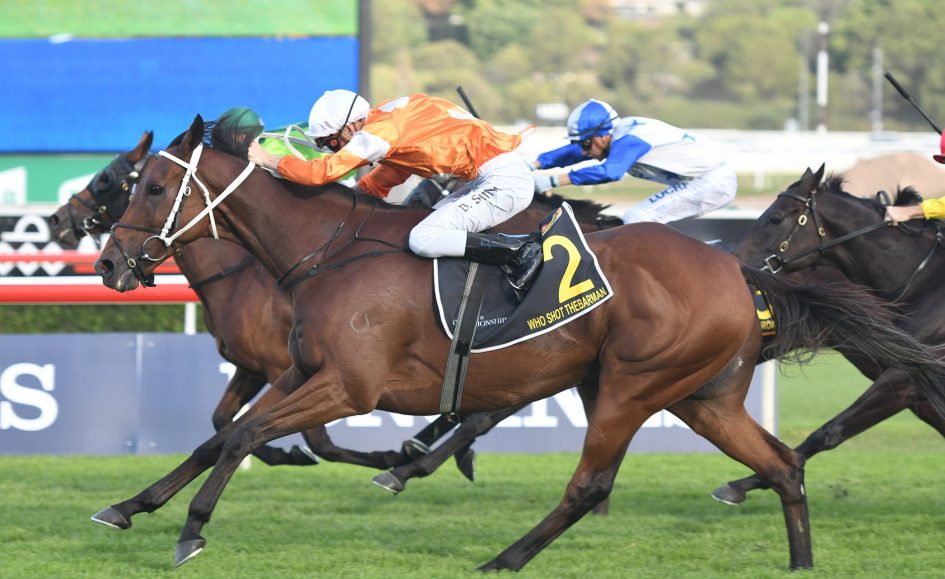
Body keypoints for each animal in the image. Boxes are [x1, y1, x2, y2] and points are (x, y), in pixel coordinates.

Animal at [48, 129, 623, 488]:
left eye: (125, 182)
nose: (103, 263)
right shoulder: (262, 365)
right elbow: (222, 421)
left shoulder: (304, 369)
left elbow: (313, 439)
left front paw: (369, 456)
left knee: (489, 411)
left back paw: (414, 459)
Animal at [713, 164, 945, 504]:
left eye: (775, 218)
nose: (735, 265)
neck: (925, 280)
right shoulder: (912, 381)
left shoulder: (904, 377)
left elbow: (829, 431)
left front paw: (742, 484)